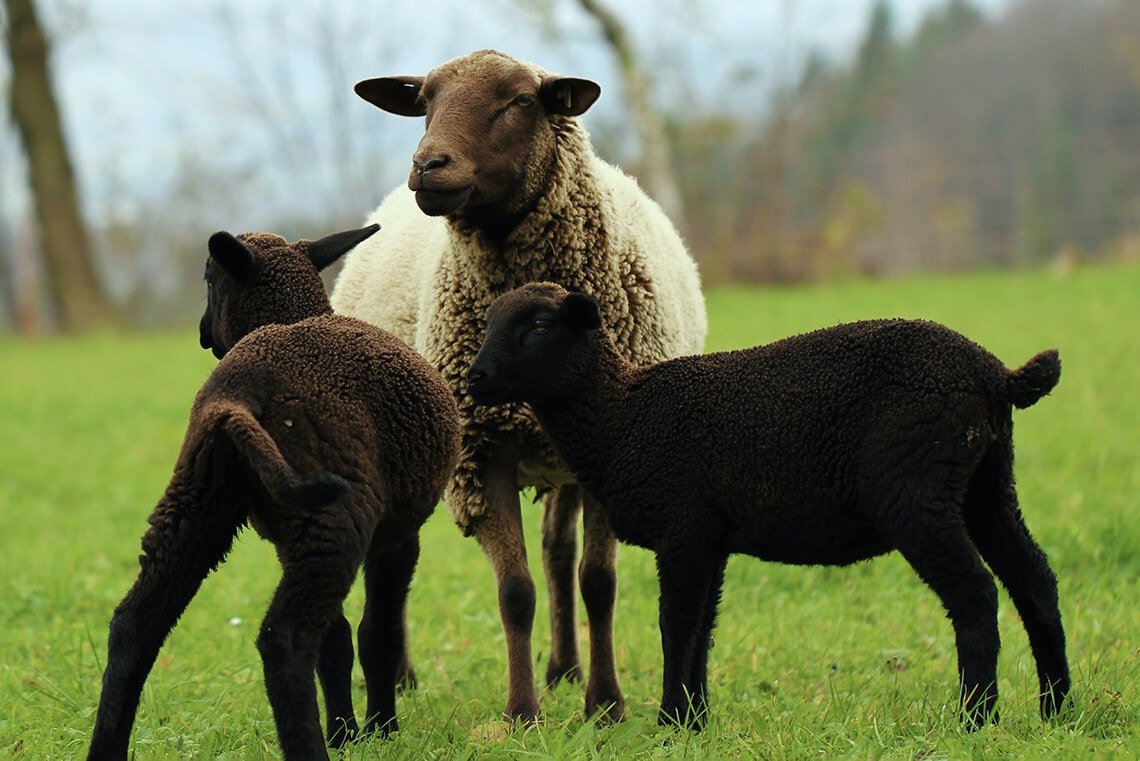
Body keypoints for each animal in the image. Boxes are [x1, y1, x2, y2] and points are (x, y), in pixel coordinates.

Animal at [87, 225, 460, 761]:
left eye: (207, 277)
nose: (202, 333)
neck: (292, 315)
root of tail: (242, 388)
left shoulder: (291, 539)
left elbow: (337, 641)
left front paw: (347, 734)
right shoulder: (398, 536)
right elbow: (377, 635)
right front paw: (380, 731)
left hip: (199, 502)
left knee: (134, 623)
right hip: (332, 516)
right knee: (284, 639)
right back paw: (310, 748)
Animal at [330, 49, 706, 721]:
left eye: (520, 101)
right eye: (423, 102)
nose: (427, 166)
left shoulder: (614, 449)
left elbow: (597, 582)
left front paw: (605, 705)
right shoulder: (480, 454)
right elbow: (515, 591)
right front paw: (522, 713)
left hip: (565, 459)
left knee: (559, 553)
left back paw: (565, 669)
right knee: (395, 550)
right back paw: (403, 675)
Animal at [467, 282, 1071, 731]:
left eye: (540, 326)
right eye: (489, 323)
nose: (475, 378)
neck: (620, 415)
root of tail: (996, 375)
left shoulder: (684, 526)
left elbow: (675, 622)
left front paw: (669, 721)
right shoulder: (711, 536)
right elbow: (702, 627)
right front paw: (693, 722)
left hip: (916, 490)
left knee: (975, 592)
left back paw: (977, 719)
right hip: (985, 484)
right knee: (1034, 578)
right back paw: (1057, 710)